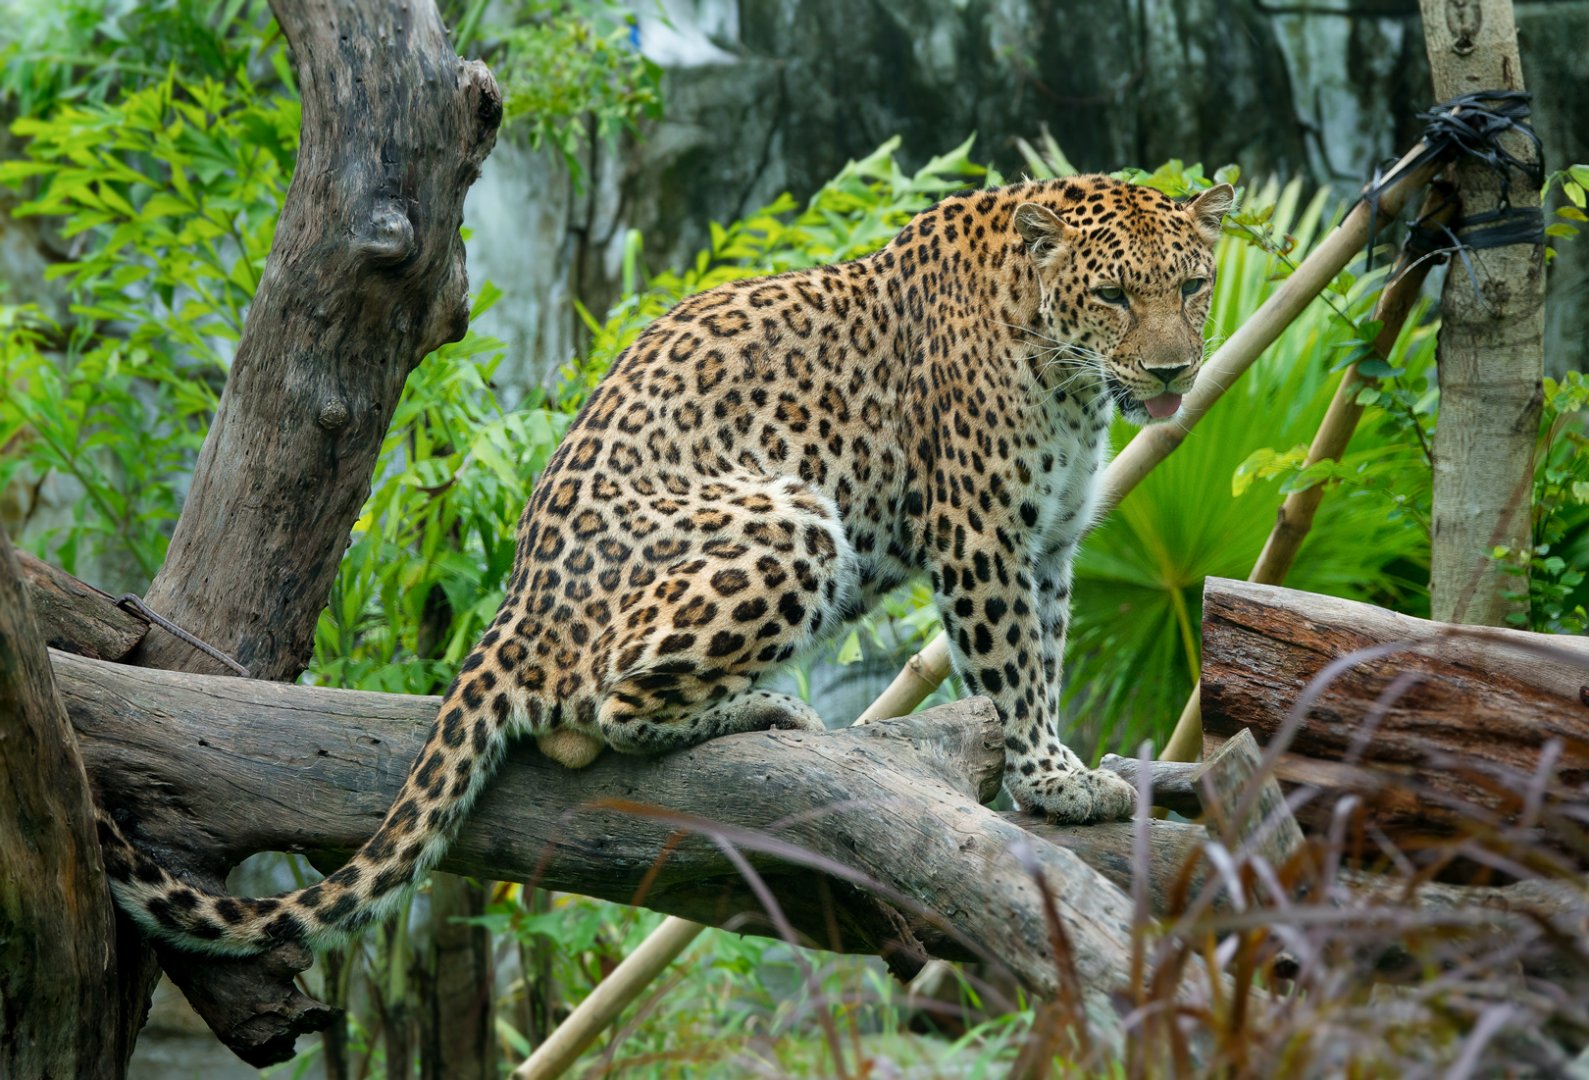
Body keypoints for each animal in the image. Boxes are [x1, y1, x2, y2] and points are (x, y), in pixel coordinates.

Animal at [101, 173, 1235, 955]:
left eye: (1191, 285)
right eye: (1112, 297)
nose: (1173, 370)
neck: (1066, 374)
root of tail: (512, 613)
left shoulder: (1047, 543)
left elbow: (1043, 656)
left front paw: (1062, 770)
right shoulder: (980, 535)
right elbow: (1009, 669)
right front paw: (1051, 780)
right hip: (791, 516)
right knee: (604, 708)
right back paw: (763, 710)